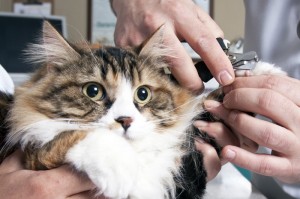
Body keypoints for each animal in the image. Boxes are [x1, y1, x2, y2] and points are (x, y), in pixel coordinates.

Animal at [0, 21, 286, 199]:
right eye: (93, 91)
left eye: (143, 93)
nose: (125, 120)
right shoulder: (32, 157)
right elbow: (67, 136)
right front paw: (117, 167)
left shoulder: (183, 167)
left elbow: (210, 105)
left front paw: (262, 76)